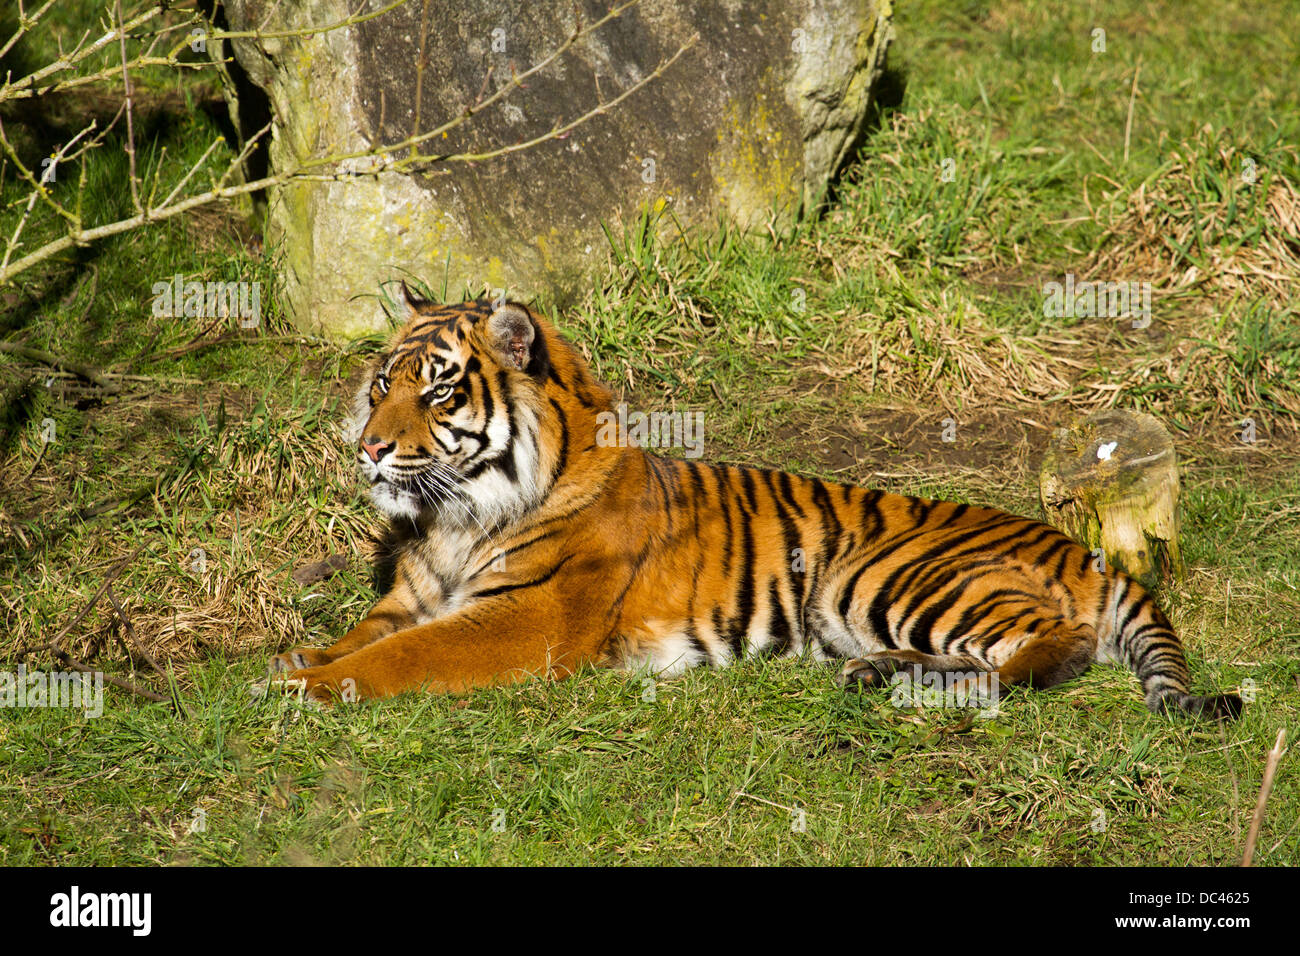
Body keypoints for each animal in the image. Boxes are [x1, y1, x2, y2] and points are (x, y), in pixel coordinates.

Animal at [261, 287, 1237, 723]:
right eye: (381, 384)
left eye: (435, 393)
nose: (368, 447)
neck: (458, 518)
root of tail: (1082, 549)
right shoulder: (414, 596)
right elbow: (362, 634)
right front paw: (292, 659)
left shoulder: (526, 617)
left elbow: (401, 657)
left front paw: (302, 685)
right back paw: (878, 674)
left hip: (881, 574)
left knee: (1051, 650)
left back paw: (910, 681)